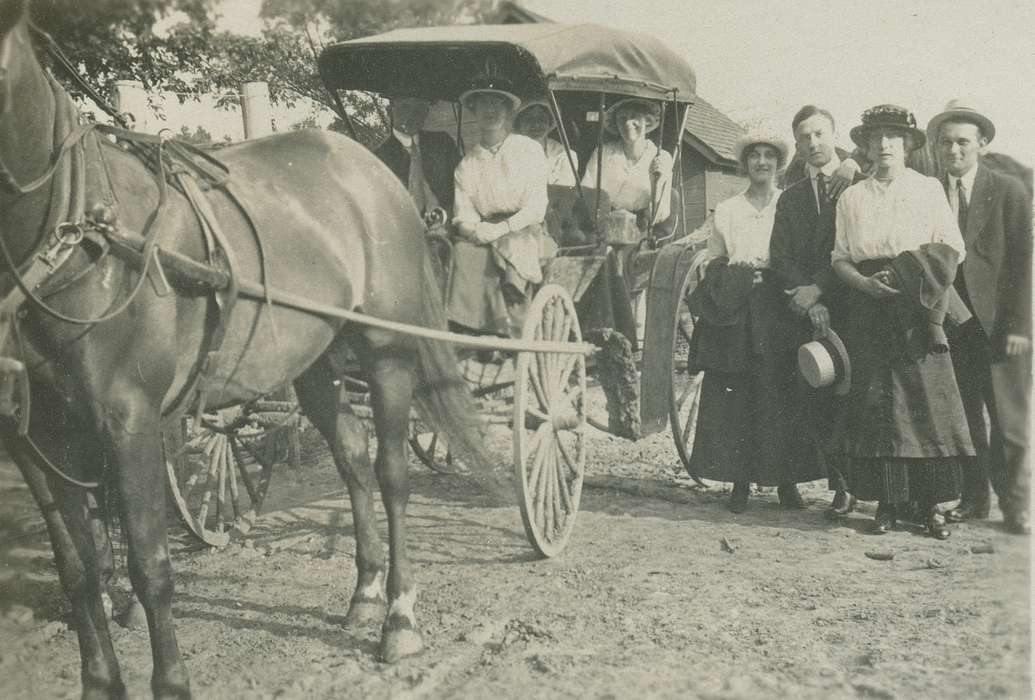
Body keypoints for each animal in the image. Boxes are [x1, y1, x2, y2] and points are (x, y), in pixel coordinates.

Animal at [0, 2, 488, 695]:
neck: (81, 230)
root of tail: (373, 171)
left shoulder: (131, 421)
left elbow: (150, 563)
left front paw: (171, 681)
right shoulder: (38, 439)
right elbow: (79, 570)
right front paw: (100, 679)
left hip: (387, 349)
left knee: (392, 474)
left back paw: (398, 617)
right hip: (314, 361)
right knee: (352, 455)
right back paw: (364, 594)